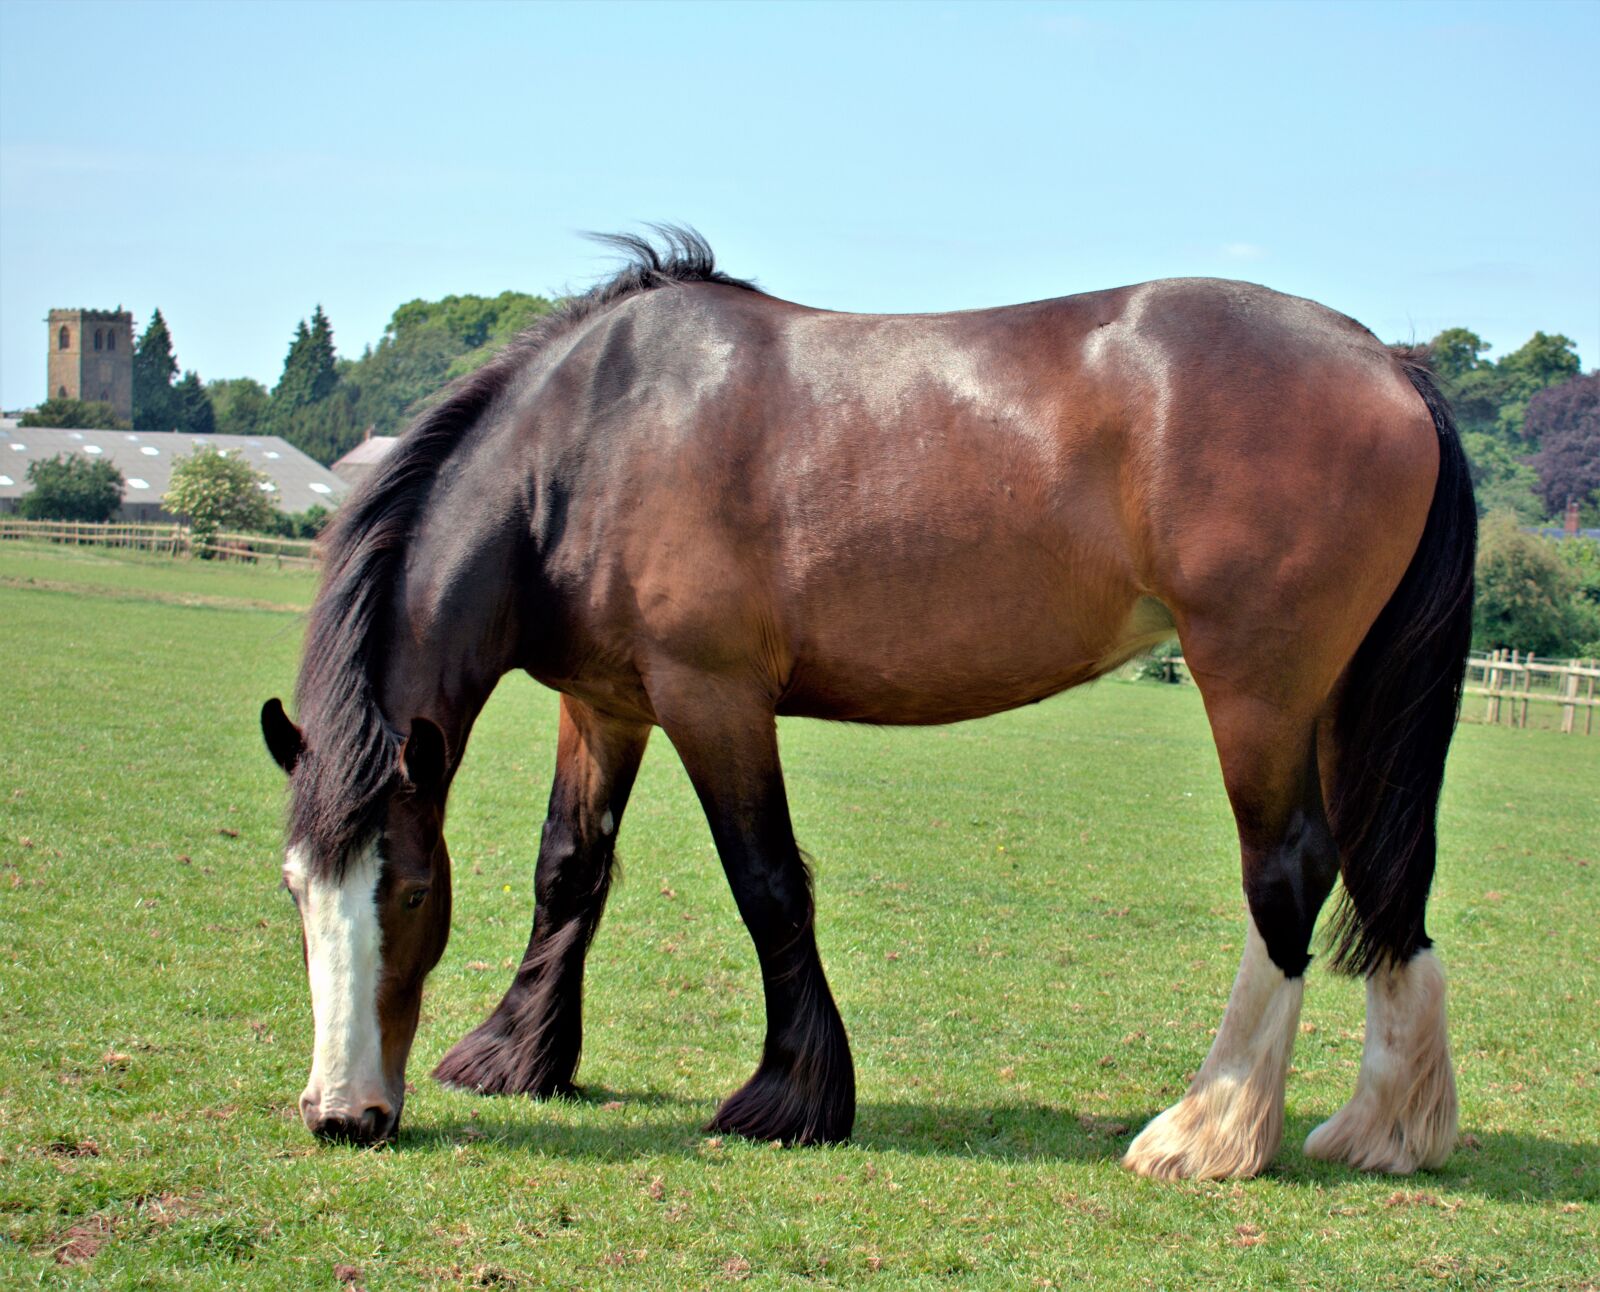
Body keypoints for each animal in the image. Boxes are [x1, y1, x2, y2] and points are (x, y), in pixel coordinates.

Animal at [261, 228, 1474, 1179]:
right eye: (296, 889)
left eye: (412, 891)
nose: (342, 1115)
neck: (588, 442)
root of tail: (1387, 361)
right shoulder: (606, 705)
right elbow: (569, 868)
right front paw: (515, 1057)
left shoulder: (712, 696)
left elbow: (765, 883)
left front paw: (790, 1097)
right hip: (1339, 698)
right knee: (1386, 871)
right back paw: (1383, 1129)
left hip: (1257, 687)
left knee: (1289, 870)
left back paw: (1209, 1130)